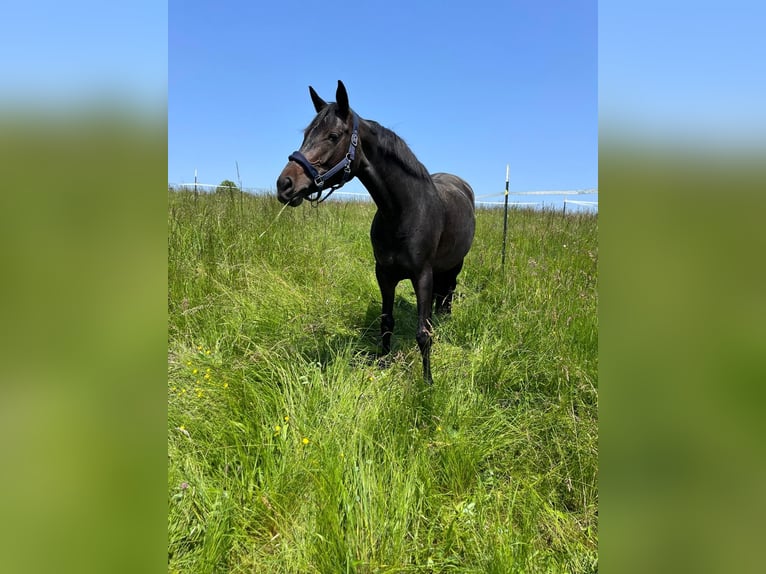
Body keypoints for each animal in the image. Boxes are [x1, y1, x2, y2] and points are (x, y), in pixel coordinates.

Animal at [280, 81, 476, 388]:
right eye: (306, 135)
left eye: (333, 136)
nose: (284, 184)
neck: (402, 213)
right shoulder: (384, 273)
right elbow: (387, 321)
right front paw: (384, 361)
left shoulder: (422, 275)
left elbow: (422, 334)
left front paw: (428, 381)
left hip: (455, 264)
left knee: (448, 294)